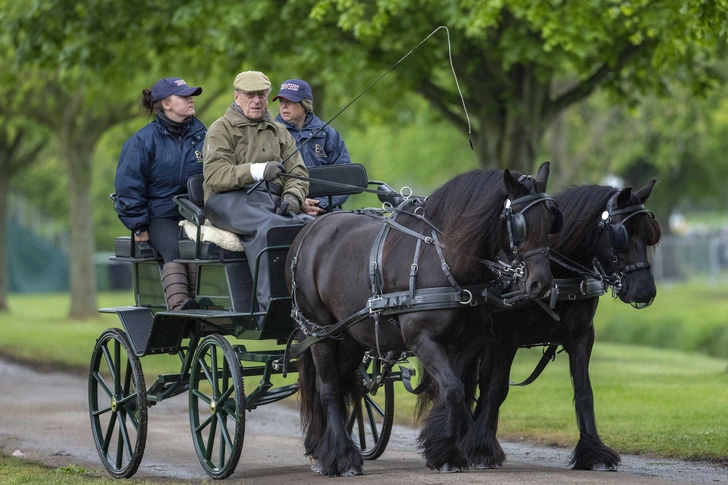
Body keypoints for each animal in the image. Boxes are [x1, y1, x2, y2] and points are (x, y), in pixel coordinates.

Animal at [284, 162, 556, 472]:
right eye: (520, 224)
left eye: (551, 219)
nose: (541, 283)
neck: (444, 258)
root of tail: (309, 231)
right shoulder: (421, 338)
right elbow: (453, 390)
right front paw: (449, 451)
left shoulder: (467, 341)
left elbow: (453, 389)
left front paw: (446, 451)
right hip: (320, 331)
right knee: (327, 388)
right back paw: (342, 457)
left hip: (351, 335)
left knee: (340, 384)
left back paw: (323, 449)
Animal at [456, 181, 664, 468]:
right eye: (621, 234)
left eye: (649, 234)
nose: (644, 291)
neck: (555, 275)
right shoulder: (507, 339)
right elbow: (497, 389)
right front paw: (480, 449)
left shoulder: (581, 337)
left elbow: (584, 392)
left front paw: (594, 452)